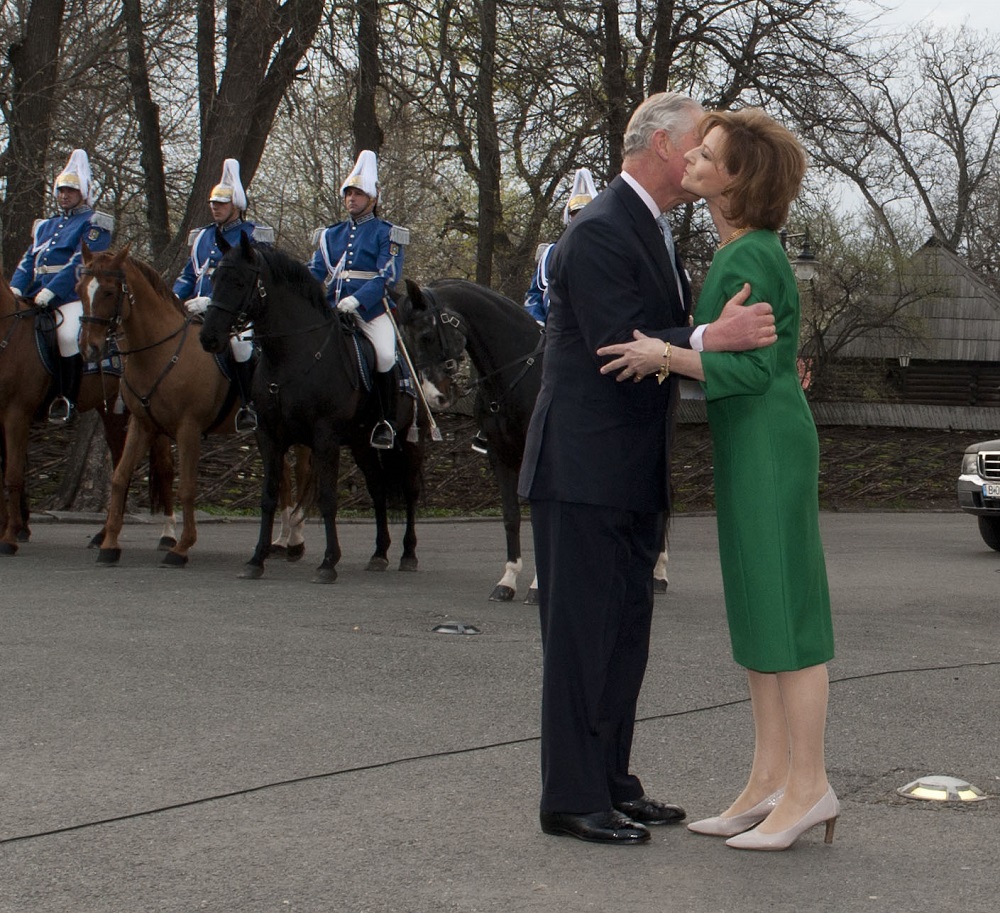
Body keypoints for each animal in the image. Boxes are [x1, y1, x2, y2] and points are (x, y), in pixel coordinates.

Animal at [0, 262, 174, 548]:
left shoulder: (17, 414)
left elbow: (13, 473)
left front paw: (12, 532)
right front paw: (14, 526)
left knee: (162, 466)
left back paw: (167, 535)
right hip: (113, 413)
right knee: (121, 465)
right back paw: (104, 534)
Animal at [199, 232, 422, 580]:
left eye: (238, 281)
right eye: (214, 278)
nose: (208, 337)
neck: (292, 356)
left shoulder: (324, 437)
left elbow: (328, 498)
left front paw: (329, 562)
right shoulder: (269, 436)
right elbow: (269, 495)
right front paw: (256, 559)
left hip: (406, 438)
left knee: (410, 489)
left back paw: (408, 553)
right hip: (361, 442)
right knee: (377, 487)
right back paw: (379, 553)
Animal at [394, 278, 668, 604]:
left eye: (426, 335)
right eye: (406, 339)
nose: (436, 396)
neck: (515, 375)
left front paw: (539, 585)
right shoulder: (500, 455)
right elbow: (511, 517)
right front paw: (508, 581)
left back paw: (658, 573)